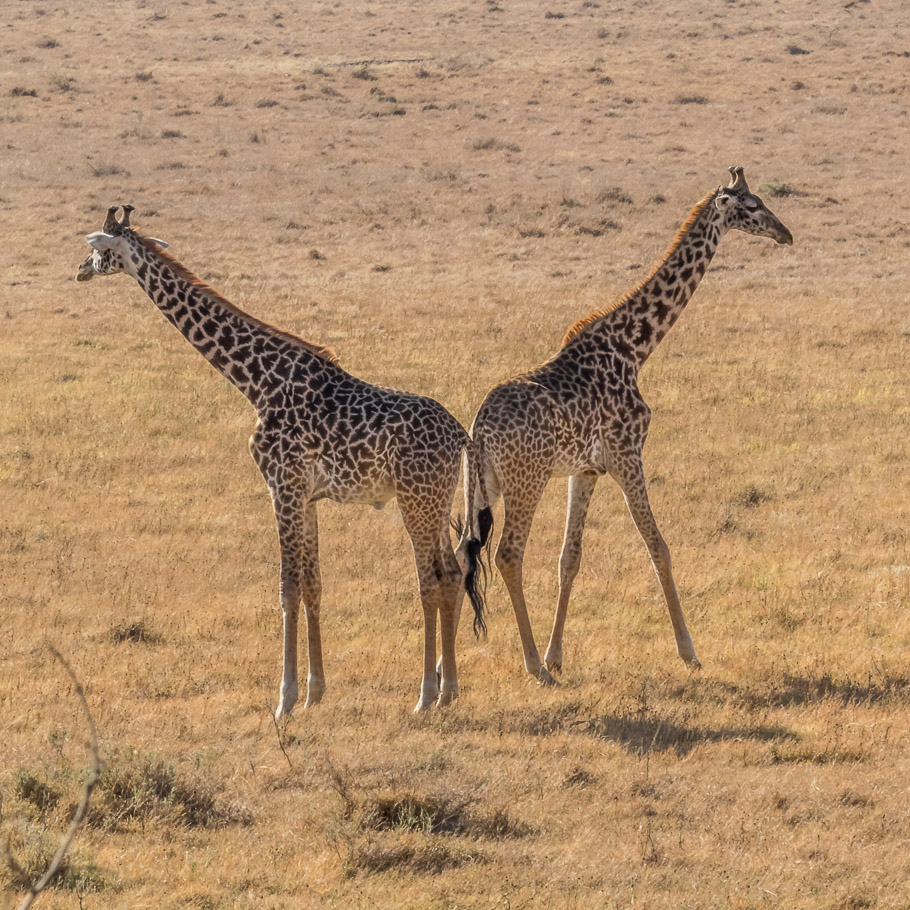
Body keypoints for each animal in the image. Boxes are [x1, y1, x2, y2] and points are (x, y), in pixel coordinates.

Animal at [76, 205, 486, 715]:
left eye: (98, 248)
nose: (80, 270)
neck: (256, 383)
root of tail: (462, 437)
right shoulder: (306, 497)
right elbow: (312, 585)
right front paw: (315, 692)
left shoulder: (281, 485)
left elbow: (287, 588)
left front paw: (285, 699)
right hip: (436, 501)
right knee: (453, 574)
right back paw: (449, 691)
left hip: (416, 501)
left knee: (432, 579)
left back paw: (427, 694)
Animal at [460, 167, 792, 685]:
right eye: (753, 206)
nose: (786, 234)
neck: (635, 347)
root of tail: (479, 436)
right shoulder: (627, 455)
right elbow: (659, 546)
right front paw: (688, 651)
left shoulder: (585, 470)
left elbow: (569, 558)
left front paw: (558, 654)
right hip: (525, 481)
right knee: (508, 554)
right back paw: (532, 666)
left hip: (481, 488)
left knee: (455, 557)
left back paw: (448, 673)